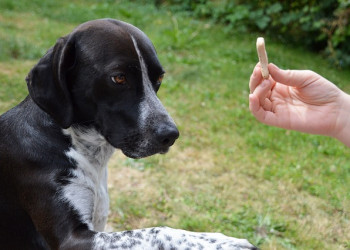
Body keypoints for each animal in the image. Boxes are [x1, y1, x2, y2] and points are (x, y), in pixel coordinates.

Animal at [0, 18, 258, 249]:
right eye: (119, 78)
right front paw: (223, 242)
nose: (170, 135)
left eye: (159, 78)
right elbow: (158, 231)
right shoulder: (71, 239)